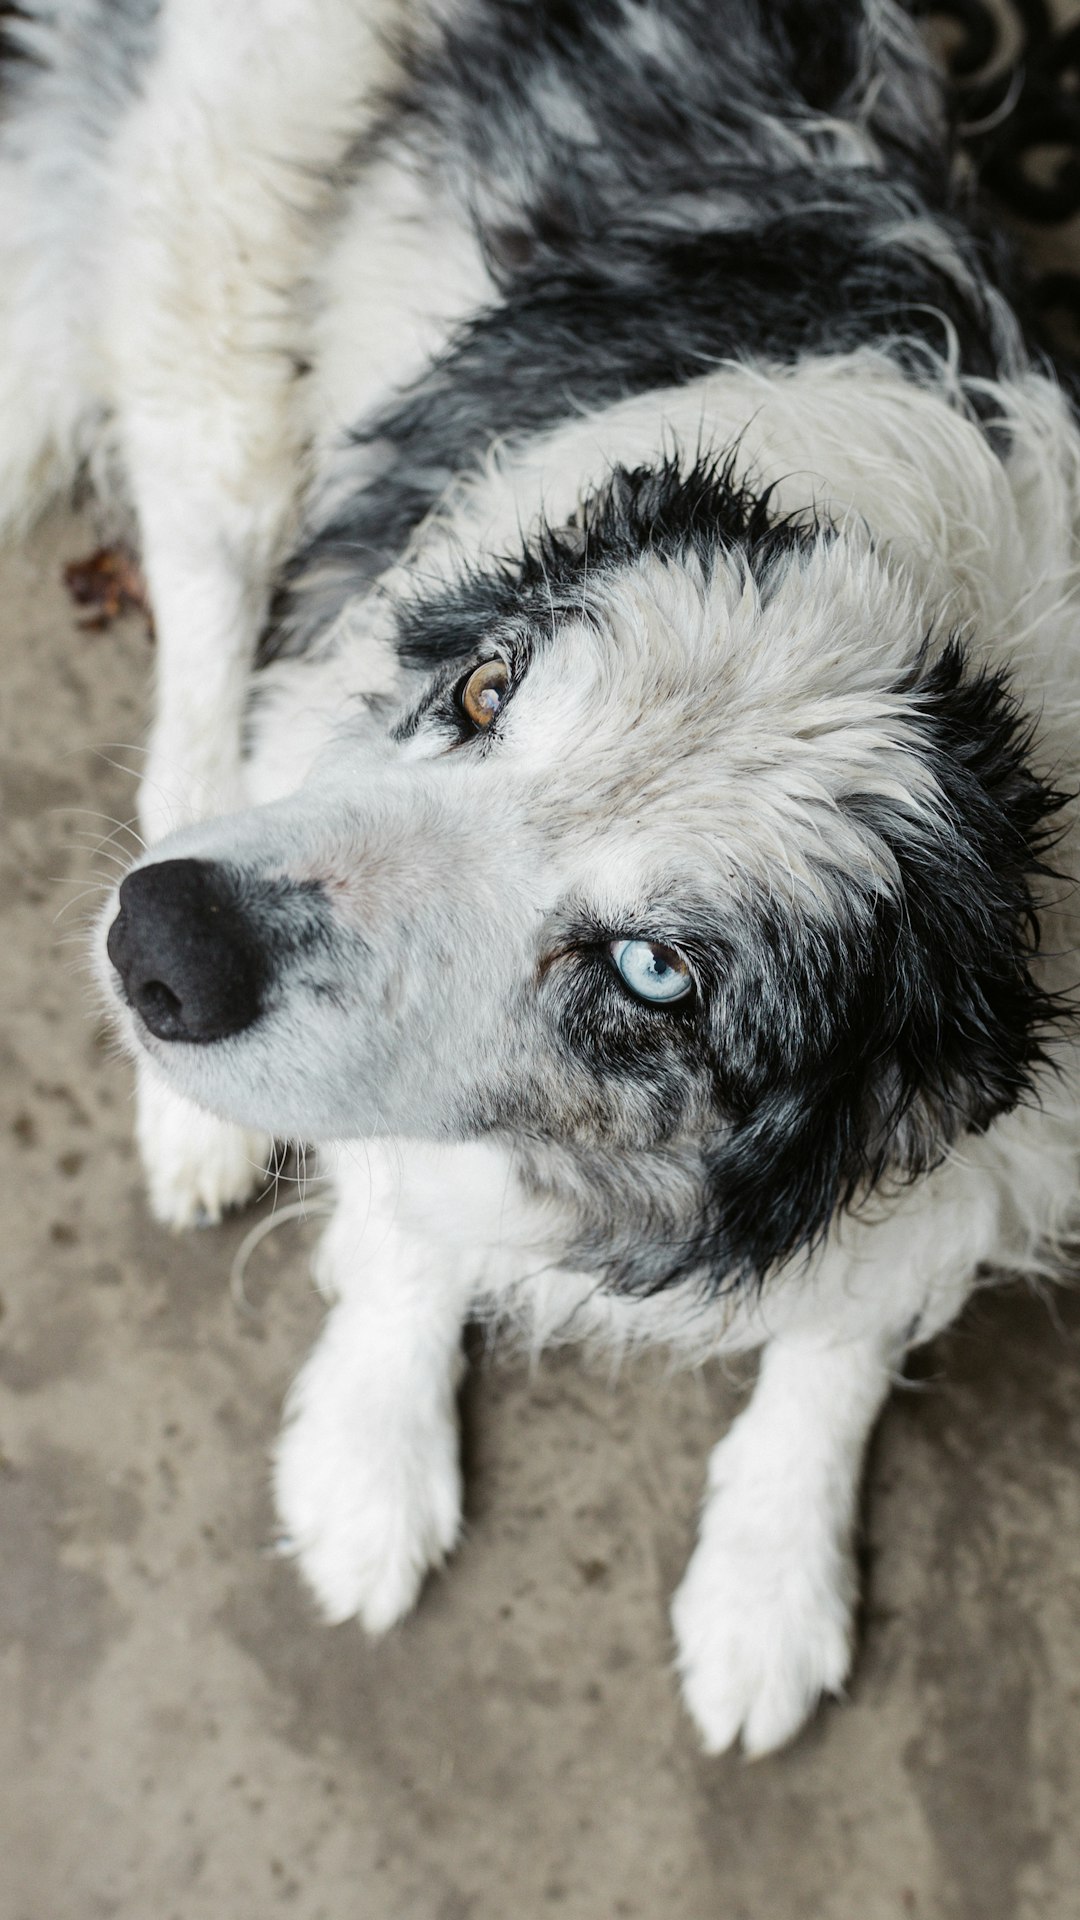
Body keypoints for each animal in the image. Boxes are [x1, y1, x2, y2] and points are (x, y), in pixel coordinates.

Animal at [6, 0, 1076, 1758]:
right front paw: (370, 1456)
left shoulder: (1006, 1141)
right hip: (225, 304)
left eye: (656, 972)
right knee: (206, 616)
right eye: (486, 691)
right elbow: (407, 1226)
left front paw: (770, 1585)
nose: (159, 942)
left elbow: (849, 1325)